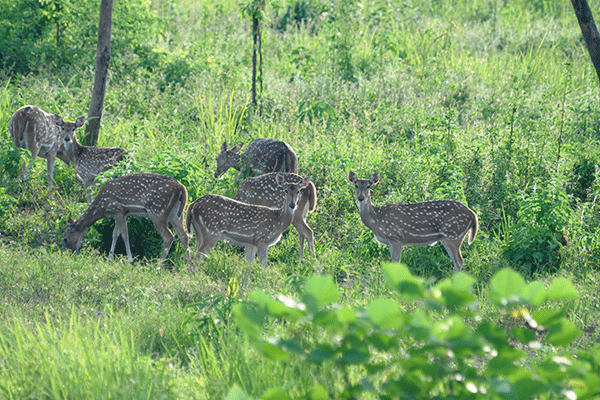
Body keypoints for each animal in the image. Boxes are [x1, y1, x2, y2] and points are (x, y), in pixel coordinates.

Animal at [346, 170, 478, 274]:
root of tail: (474, 216)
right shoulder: (391, 242)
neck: (376, 221)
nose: (361, 198)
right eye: (356, 185)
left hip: (453, 235)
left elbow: (396, 263)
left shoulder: (396, 237)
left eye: (369, 186)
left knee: (459, 261)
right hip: (447, 237)